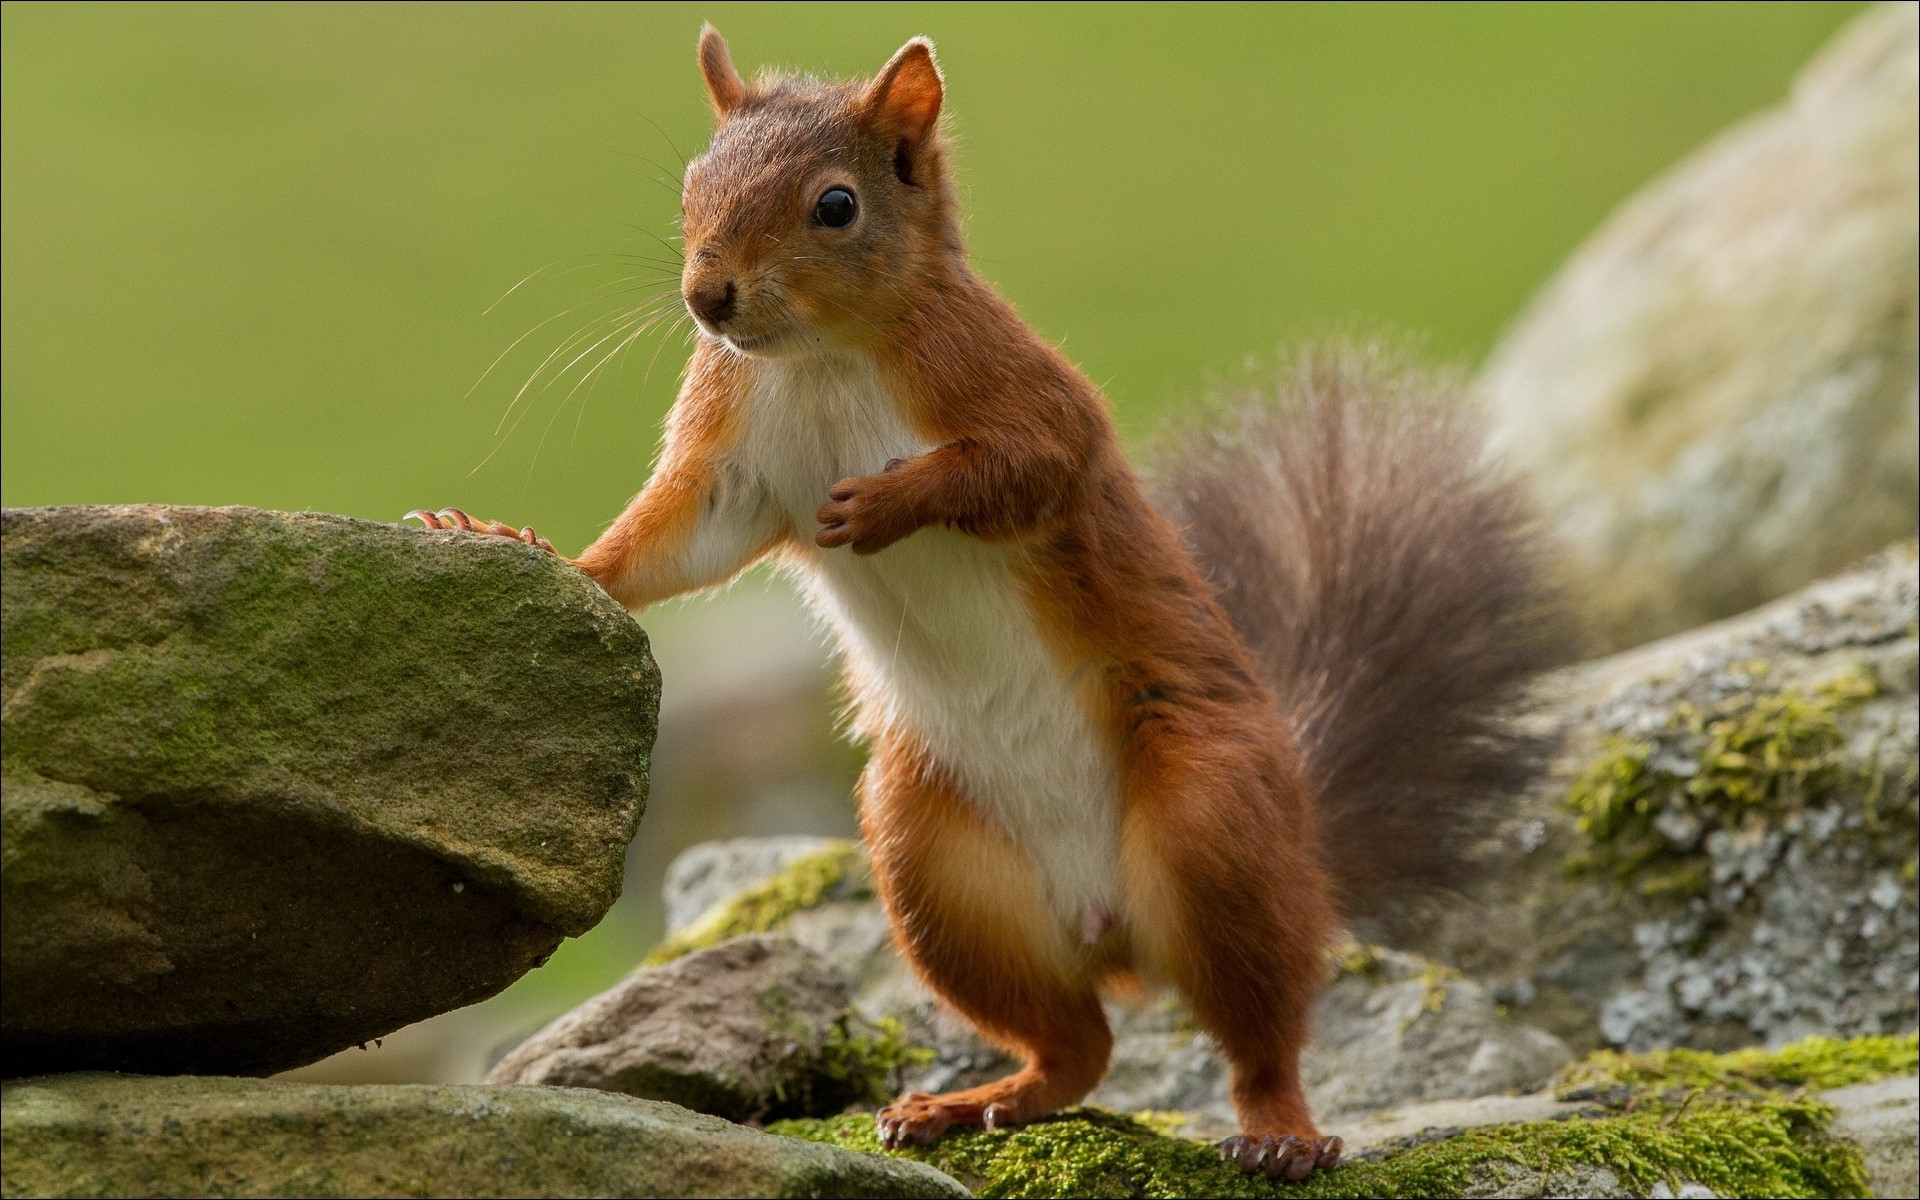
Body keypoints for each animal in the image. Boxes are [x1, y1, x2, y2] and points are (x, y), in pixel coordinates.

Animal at [410, 28, 1563, 1181]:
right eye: (694, 183)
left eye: (836, 206)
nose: (708, 299)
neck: (822, 357)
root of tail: (1115, 930)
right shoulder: (731, 461)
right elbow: (668, 546)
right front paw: (516, 544)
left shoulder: (1019, 392)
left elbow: (1021, 468)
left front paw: (888, 502)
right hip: (934, 868)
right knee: (1077, 1048)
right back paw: (971, 1103)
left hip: (1213, 818)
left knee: (1259, 1030)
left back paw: (1280, 1130)